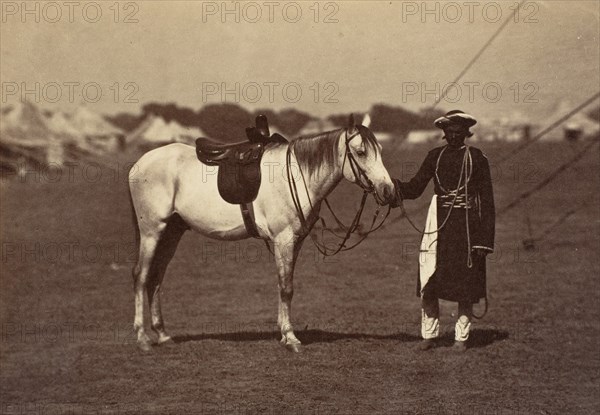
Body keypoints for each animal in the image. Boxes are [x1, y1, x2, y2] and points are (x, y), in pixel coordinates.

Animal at [129, 114, 396, 354]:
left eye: (380, 150)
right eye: (360, 152)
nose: (389, 191)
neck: (296, 175)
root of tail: (138, 164)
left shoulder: (295, 241)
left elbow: (283, 285)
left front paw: (284, 333)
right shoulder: (283, 239)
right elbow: (286, 288)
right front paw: (291, 338)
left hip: (172, 232)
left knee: (156, 278)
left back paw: (163, 335)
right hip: (152, 231)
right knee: (141, 276)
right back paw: (142, 338)